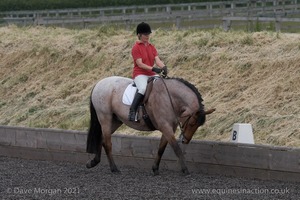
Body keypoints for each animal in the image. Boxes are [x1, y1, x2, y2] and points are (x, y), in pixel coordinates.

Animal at [85, 76, 214, 174]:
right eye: (192, 123)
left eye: (197, 126)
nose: (185, 140)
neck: (170, 98)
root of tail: (99, 83)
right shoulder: (165, 126)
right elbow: (176, 148)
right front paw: (185, 170)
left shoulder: (169, 128)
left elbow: (161, 148)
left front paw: (155, 168)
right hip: (105, 118)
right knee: (107, 143)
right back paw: (114, 168)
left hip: (115, 121)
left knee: (102, 138)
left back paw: (93, 162)